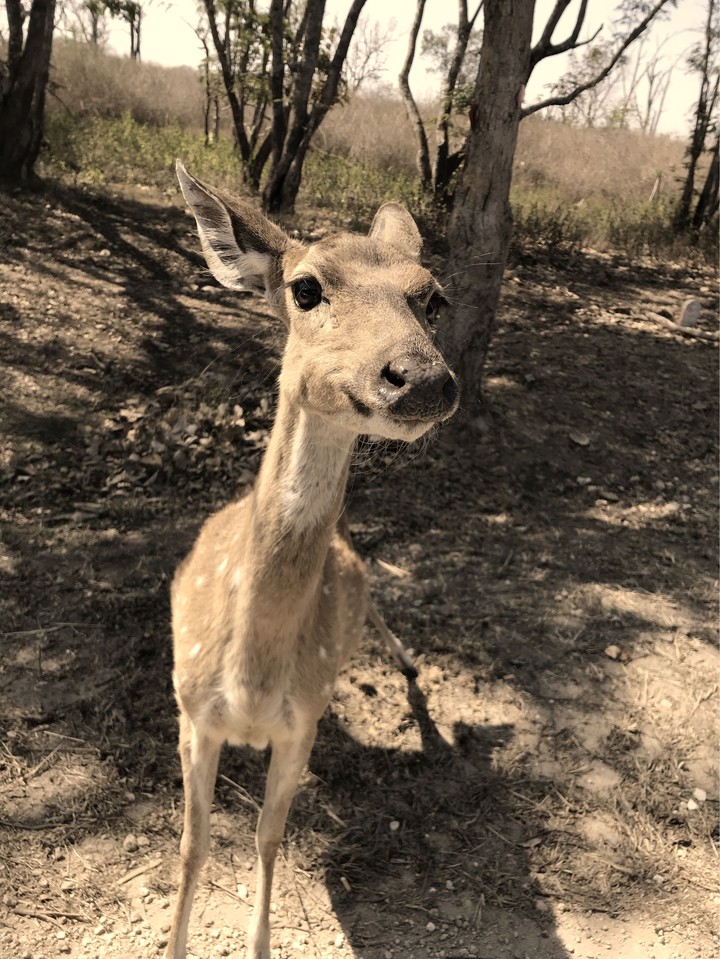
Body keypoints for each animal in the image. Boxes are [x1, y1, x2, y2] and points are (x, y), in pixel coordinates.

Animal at [165, 160, 459, 959]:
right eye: (305, 288)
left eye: (432, 296)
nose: (423, 377)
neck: (253, 681)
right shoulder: (191, 712)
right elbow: (193, 846)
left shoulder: (303, 725)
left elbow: (268, 840)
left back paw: (410, 665)